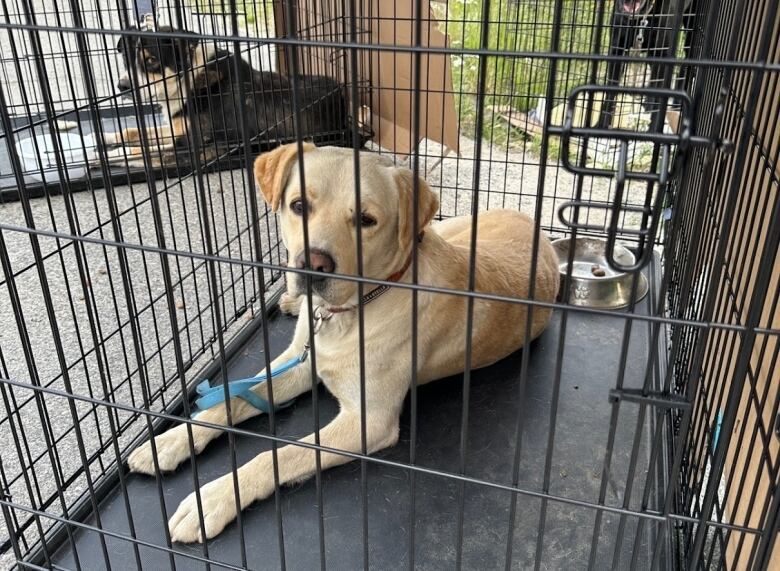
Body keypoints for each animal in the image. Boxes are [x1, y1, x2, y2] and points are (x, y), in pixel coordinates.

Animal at [128, 142, 560, 540]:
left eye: (366, 220)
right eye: (298, 205)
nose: (312, 265)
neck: (345, 313)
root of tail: (534, 222)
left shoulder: (370, 421)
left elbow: (282, 454)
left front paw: (214, 499)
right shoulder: (302, 362)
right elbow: (232, 400)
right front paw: (172, 440)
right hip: (447, 229)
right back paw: (289, 301)